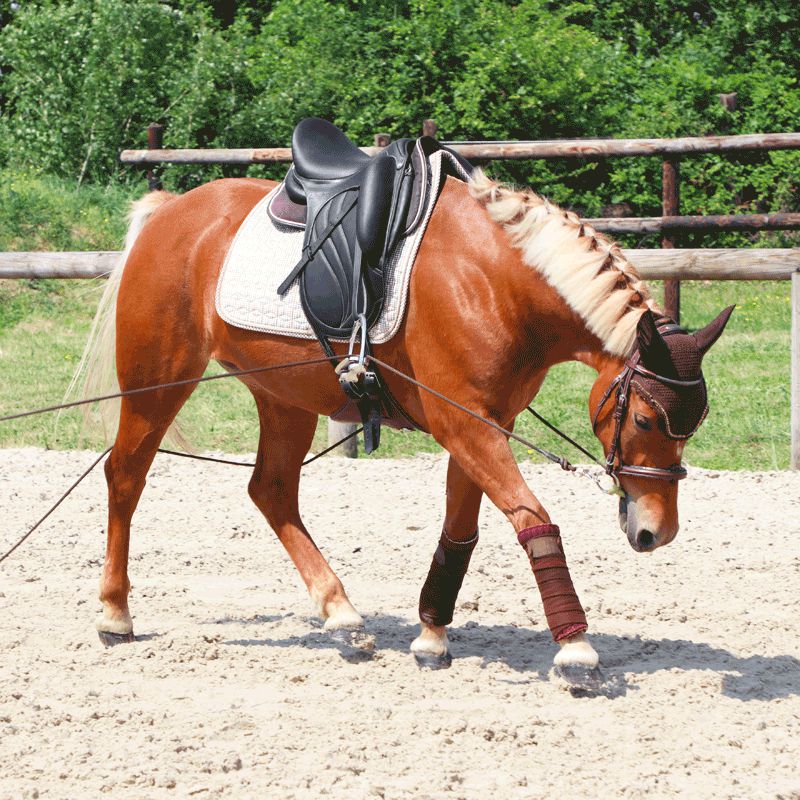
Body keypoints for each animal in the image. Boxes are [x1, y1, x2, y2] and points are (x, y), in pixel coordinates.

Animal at [73, 167, 732, 688]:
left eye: (693, 424)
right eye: (644, 418)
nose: (656, 532)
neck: (496, 280)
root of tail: (170, 210)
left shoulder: (486, 423)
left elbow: (460, 532)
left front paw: (431, 638)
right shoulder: (465, 424)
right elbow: (532, 517)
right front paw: (575, 649)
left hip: (284, 397)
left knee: (271, 490)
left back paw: (342, 616)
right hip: (158, 382)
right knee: (126, 476)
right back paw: (114, 615)